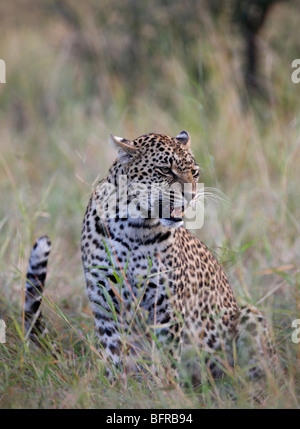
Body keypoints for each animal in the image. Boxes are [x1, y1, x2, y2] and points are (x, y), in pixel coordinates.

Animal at [25, 130, 278, 384]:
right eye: (165, 170)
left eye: (194, 173)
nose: (192, 195)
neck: (134, 227)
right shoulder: (105, 299)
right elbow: (114, 350)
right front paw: (117, 385)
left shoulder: (166, 304)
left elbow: (166, 355)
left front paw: (165, 387)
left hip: (249, 316)